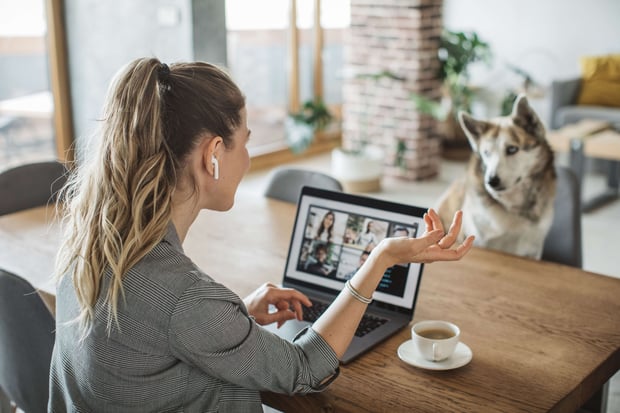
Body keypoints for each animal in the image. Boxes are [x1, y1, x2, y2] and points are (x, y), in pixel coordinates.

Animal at [436, 95, 556, 260]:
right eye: (486, 153)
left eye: (512, 149)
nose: (491, 181)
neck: (514, 208)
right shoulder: (481, 241)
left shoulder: (533, 249)